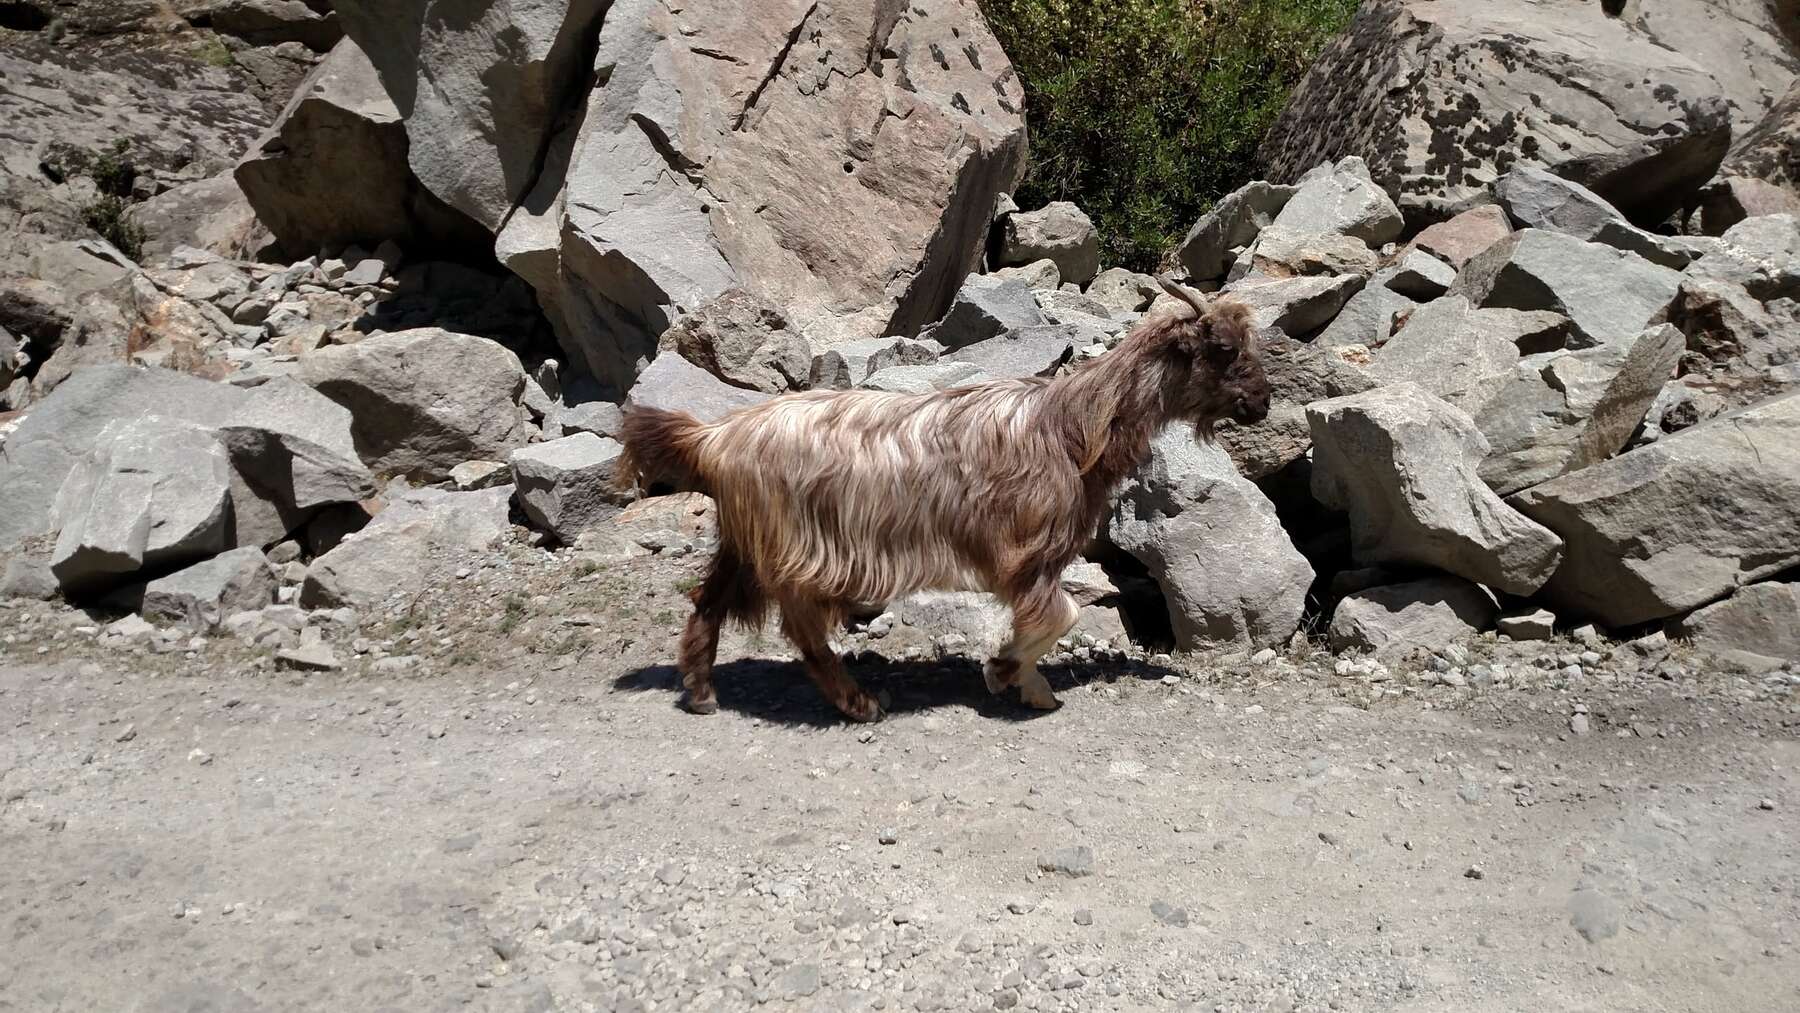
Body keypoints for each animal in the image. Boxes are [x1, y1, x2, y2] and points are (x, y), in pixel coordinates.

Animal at [617, 280, 1270, 722]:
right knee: (799, 628)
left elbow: (1053, 618)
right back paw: (858, 702)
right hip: (800, 546)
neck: (1072, 430)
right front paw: (1007, 674)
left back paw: (702, 692)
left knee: (708, 602)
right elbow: (1062, 615)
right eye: (1224, 350)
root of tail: (717, 437)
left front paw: (1026, 684)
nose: (1261, 404)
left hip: (746, 538)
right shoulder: (1026, 550)